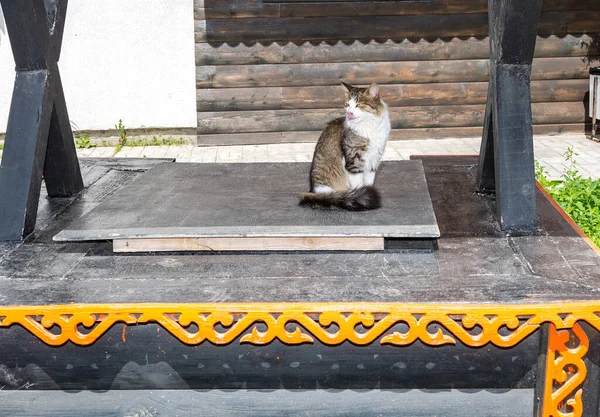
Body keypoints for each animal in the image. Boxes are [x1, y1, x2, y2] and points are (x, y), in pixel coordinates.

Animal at [298, 82, 392, 211]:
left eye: (359, 105)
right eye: (347, 105)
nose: (350, 113)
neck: (369, 127)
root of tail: (313, 191)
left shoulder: (374, 160)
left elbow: (368, 182)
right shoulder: (353, 162)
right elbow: (359, 186)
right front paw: (362, 194)